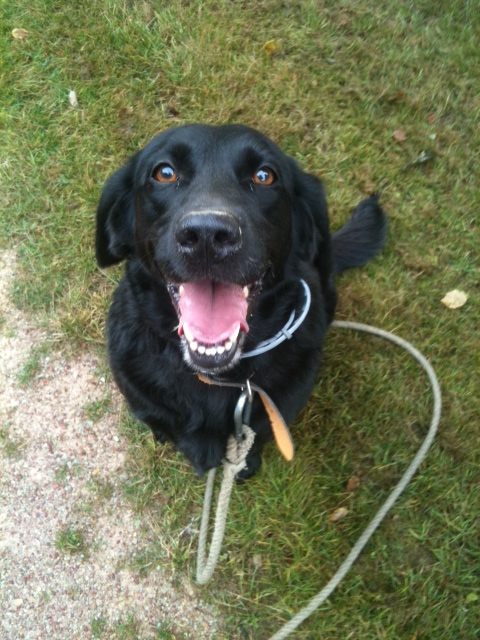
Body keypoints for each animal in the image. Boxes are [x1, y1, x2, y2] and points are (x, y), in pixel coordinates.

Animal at [96, 124, 386, 480]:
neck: (218, 378)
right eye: (165, 172)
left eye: (264, 176)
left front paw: (245, 465)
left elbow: (254, 439)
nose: (207, 235)